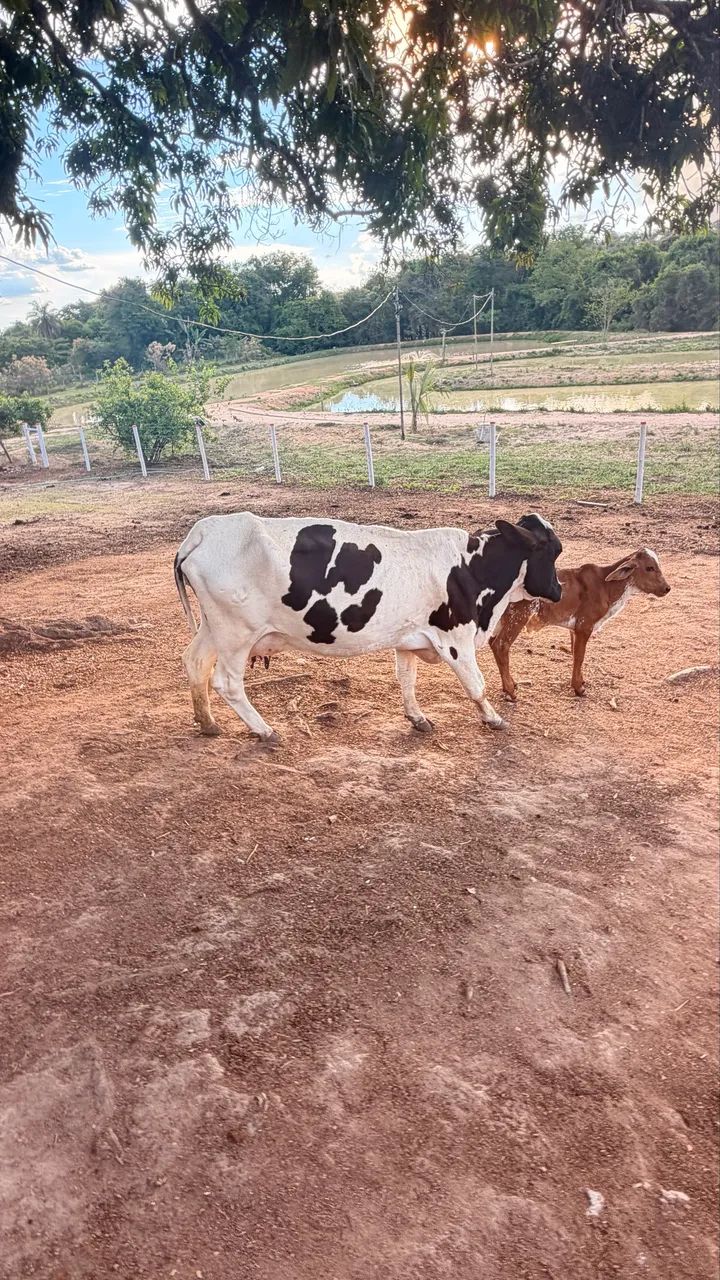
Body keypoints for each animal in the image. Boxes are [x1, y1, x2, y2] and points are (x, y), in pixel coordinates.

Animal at [174, 511, 563, 744]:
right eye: (552, 552)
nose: (558, 590)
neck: (470, 567)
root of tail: (205, 530)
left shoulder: (408, 638)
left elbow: (407, 680)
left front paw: (417, 717)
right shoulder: (456, 639)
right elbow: (476, 685)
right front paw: (493, 719)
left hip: (214, 629)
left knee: (195, 662)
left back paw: (207, 722)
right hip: (236, 634)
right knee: (226, 682)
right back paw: (265, 730)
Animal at [489, 548, 670, 701]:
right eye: (649, 568)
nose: (667, 588)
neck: (605, 586)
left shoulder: (574, 628)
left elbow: (574, 652)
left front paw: (580, 682)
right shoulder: (584, 625)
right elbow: (580, 656)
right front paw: (579, 688)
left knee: (493, 643)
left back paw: (510, 685)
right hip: (518, 616)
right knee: (501, 645)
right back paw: (510, 691)